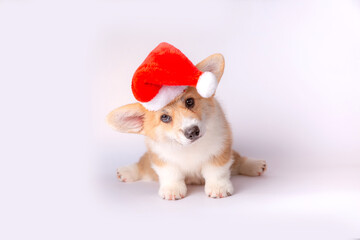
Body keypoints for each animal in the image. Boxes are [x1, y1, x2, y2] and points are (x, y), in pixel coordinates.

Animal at [105, 53, 266, 200]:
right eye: (164, 117)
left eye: (190, 102)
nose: (192, 132)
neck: (188, 148)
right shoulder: (162, 158)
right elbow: (171, 174)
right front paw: (172, 190)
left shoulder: (220, 149)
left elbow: (216, 171)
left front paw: (218, 188)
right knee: (142, 165)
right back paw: (126, 171)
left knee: (238, 160)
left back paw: (256, 165)